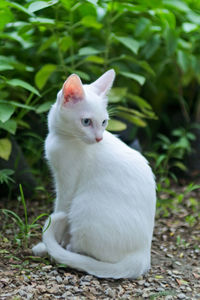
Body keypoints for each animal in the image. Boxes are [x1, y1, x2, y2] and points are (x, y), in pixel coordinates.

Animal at [32, 69, 156, 278]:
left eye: (104, 122)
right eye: (86, 122)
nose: (99, 138)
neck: (63, 138)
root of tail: (142, 256)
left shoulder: (67, 185)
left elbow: (60, 210)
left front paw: (48, 245)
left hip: (83, 206)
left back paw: (69, 251)